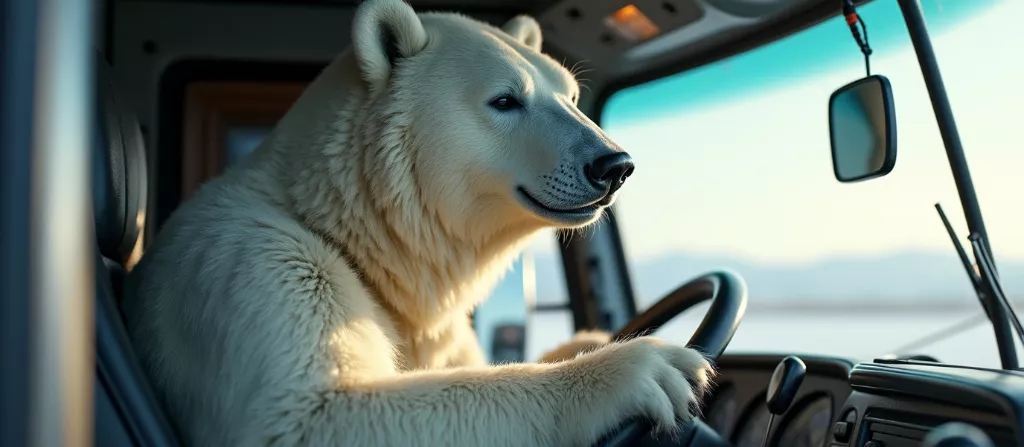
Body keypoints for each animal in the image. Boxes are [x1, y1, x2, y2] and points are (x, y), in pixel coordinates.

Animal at [121, 0, 713, 445]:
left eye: (570, 94)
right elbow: (312, 415)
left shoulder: (439, 326)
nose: (613, 165)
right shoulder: (260, 265)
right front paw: (647, 367)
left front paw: (593, 338)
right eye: (505, 99)